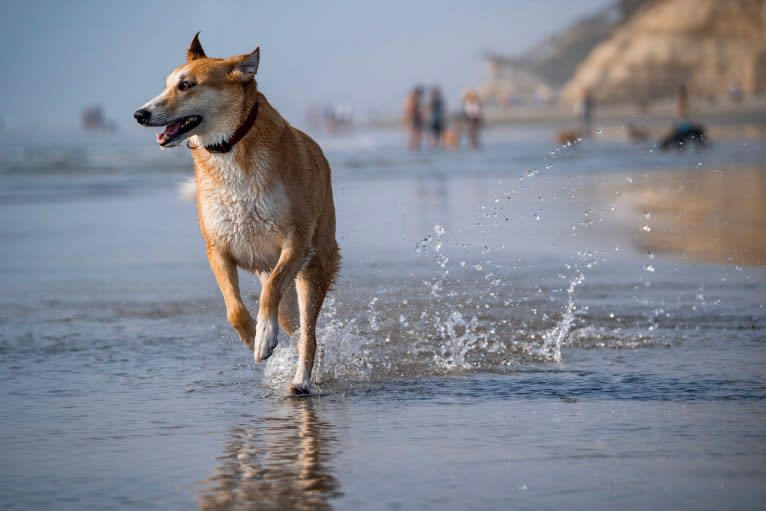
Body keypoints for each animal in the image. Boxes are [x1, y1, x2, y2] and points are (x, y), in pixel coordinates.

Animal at [135, 35, 342, 396]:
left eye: (186, 85)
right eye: (166, 84)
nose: (139, 114)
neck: (230, 147)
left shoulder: (295, 242)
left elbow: (270, 290)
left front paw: (263, 337)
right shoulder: (217, 248)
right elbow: (233, 307)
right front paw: (252, 337)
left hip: (312, 269)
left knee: (309, 334)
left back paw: (300, 379)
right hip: (286, 295)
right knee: (295, 327)